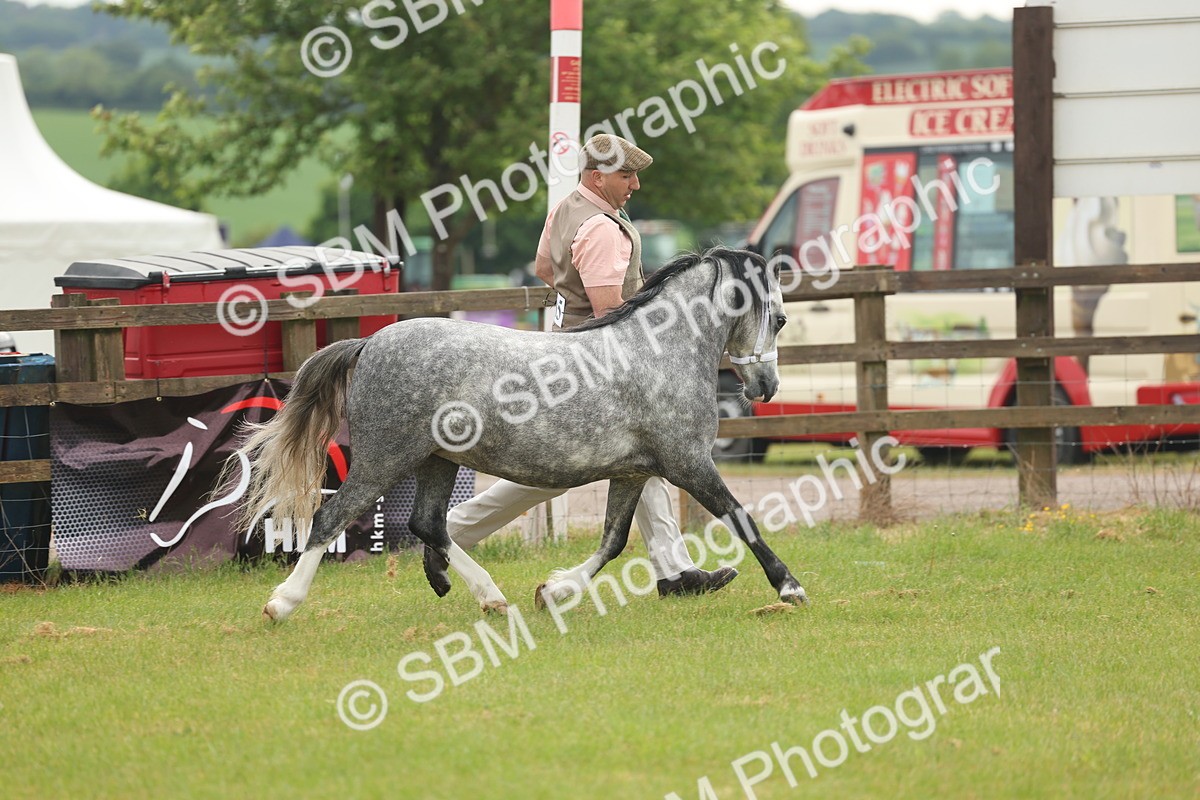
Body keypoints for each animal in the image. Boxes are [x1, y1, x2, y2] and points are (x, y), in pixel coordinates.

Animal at [233, 246, 807, 621]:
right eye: (779, 318)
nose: (767, 387)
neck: (659, 350)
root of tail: (369, 343)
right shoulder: (689, 464)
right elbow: (740, 518)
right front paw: (790, 588)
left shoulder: (634, 472)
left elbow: (613, 540)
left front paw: (555, 590)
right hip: (384, 459)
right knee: (330, 517)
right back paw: (282, 603)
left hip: (437, 460)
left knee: (429, 524)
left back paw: (481, 592)